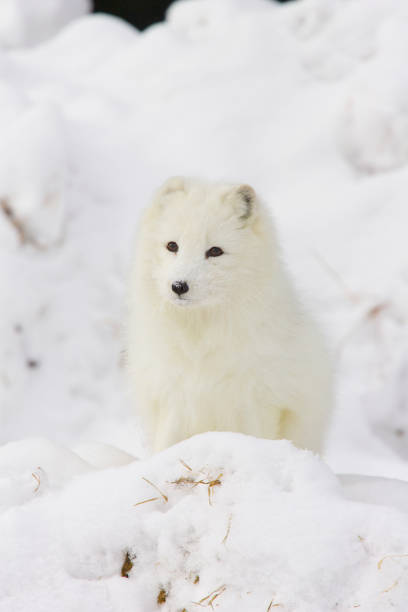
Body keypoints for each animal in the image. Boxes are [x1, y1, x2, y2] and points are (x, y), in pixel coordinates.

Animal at [127, 177, 332, 454]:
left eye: (215, 251)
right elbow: (166, 445)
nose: (179, 286)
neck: (199, 340)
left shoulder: (257, 402)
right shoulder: (174, 396)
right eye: (172, 246)